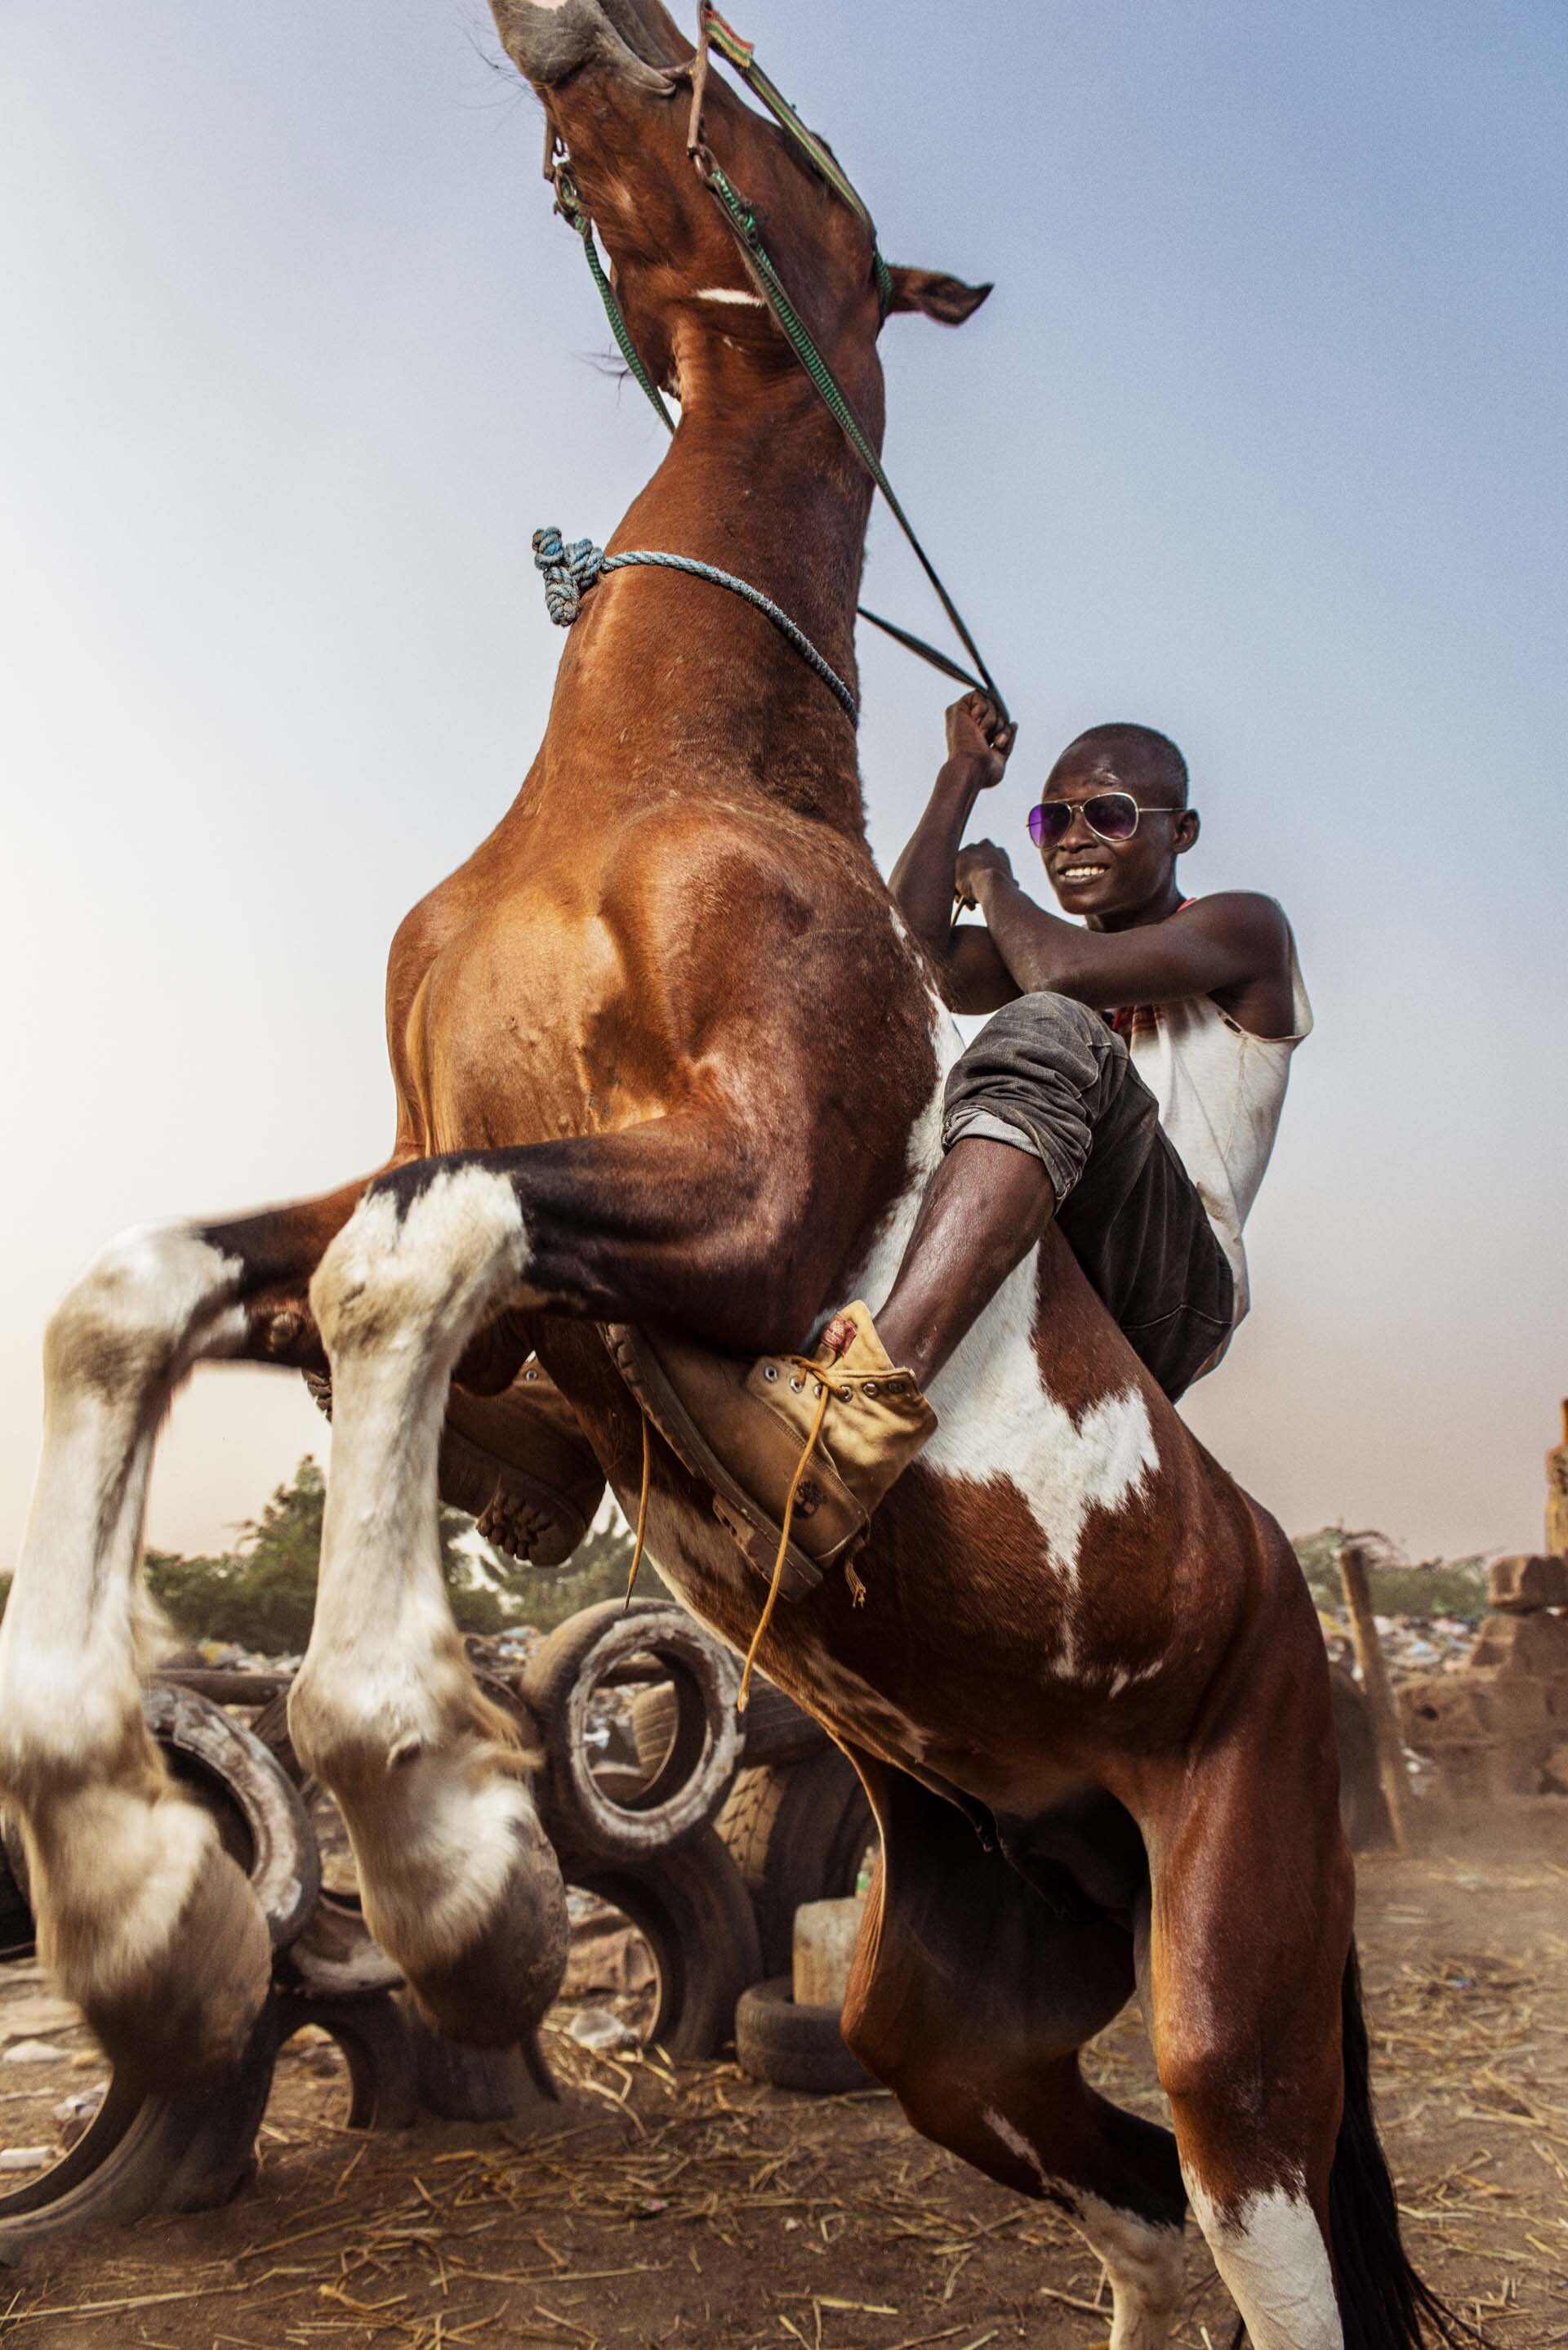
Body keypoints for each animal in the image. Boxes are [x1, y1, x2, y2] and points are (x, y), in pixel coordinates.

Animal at [0, 9, 1457, 2340]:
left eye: (793, 153)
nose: (597, 27)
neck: (657, 774)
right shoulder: (463, 1177)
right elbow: (150, 1287)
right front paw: (141, 1896)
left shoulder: (751, 1207)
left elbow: (413, 1262)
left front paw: (455, 1855)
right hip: (956, 1988)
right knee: (1128, 2202)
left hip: (1238, 1971)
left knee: (1254, 2199)